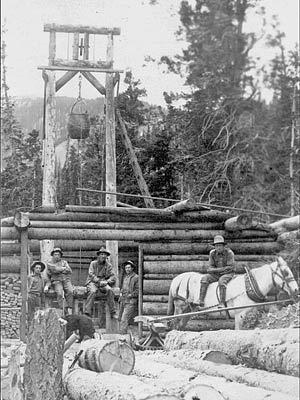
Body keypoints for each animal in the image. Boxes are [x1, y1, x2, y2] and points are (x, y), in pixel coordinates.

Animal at [168, 258, 298, 330]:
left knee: (179, 326)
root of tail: (177, 279)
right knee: (174, 325)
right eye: (285, 272)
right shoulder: (239, 314)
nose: (296, 289)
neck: (249, 286)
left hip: (188, 311)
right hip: (180, 307)